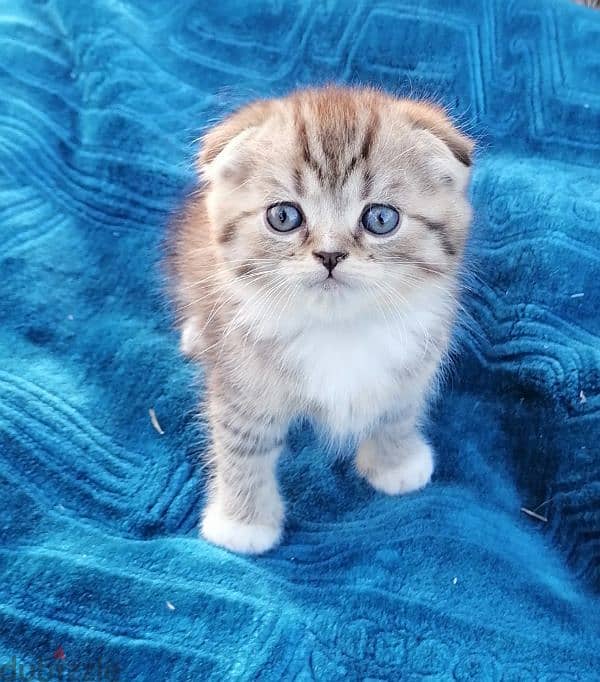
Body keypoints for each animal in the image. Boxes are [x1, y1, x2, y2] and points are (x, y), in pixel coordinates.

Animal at [169, 85, 474, 552]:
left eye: (381, 218)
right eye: (284, 216)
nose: (330, 255)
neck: (339, 329)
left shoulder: (418, 355)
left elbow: (399, 409)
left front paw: (395, 462)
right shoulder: (242, 373)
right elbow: (242, 440)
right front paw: (243, 522)